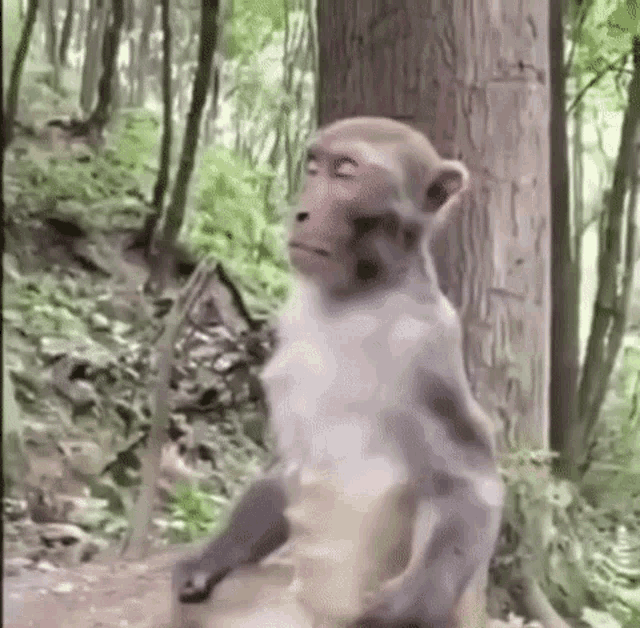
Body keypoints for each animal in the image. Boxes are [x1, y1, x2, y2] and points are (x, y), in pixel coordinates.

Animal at [171, 116, 504, 628]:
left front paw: (400, 611)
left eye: (345, 171)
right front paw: (211, 558)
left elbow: (467, 486)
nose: (302, 212)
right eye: (313, 168)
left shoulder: (428, 346)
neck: (357, 296)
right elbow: (286, 462)